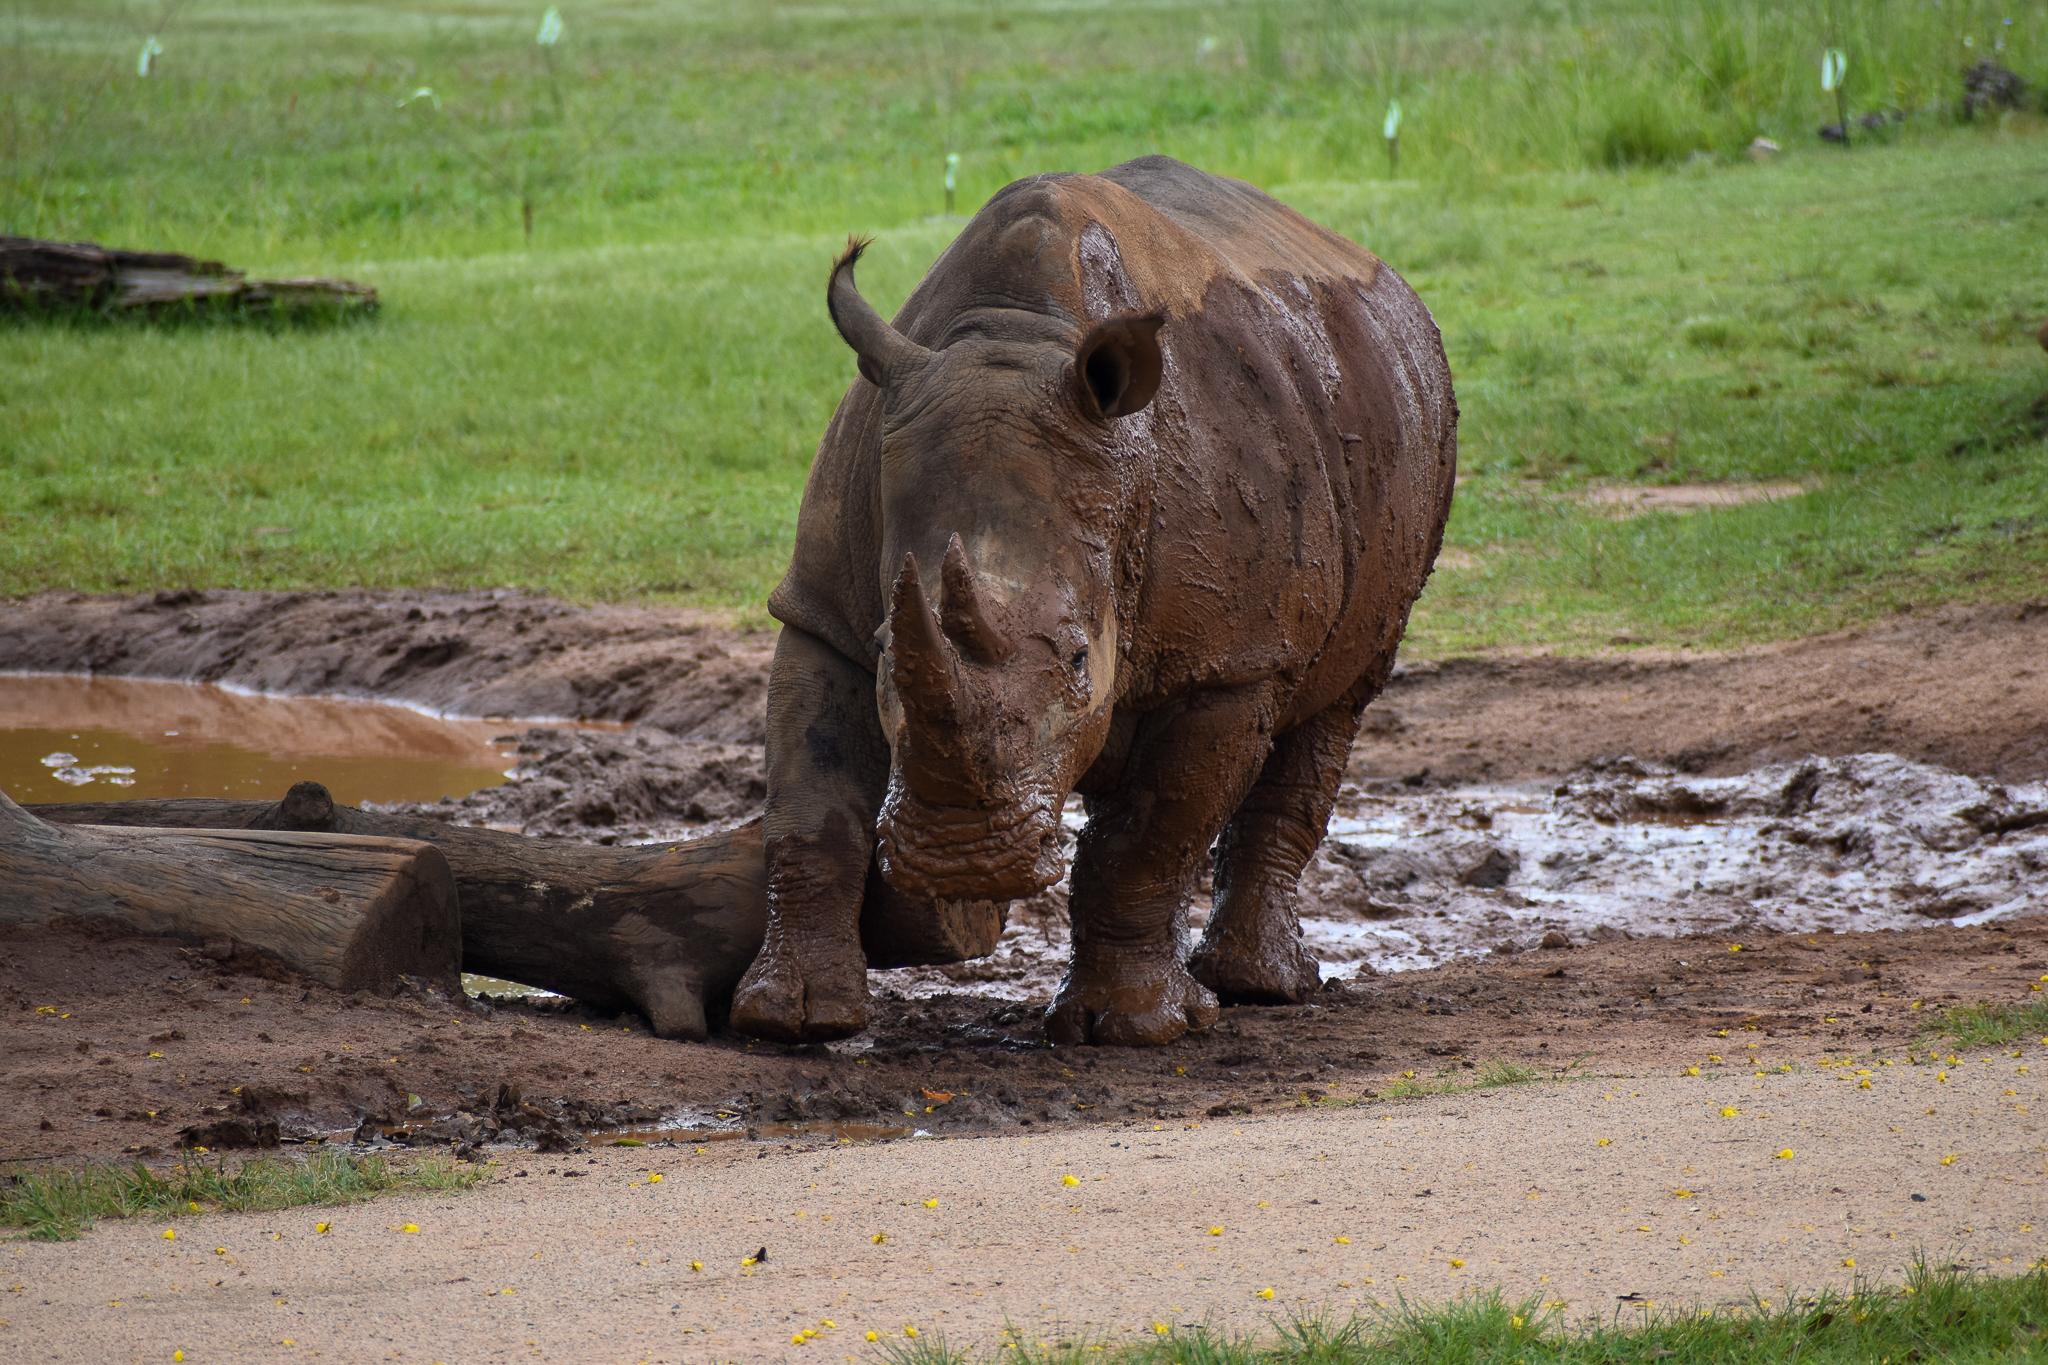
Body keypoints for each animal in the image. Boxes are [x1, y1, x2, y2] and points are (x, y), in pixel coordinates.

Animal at [731, 155, 1456, 1047]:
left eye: (1080, 657)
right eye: (884, 651)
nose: (962, 859)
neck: (1013, 338)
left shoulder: (1232, 660)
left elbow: (1152, 836)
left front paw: (1132, 1028)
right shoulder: (821, 611)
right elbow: (811, 804)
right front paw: (793, 1018)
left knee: (1339, 698)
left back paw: (1255, 988)